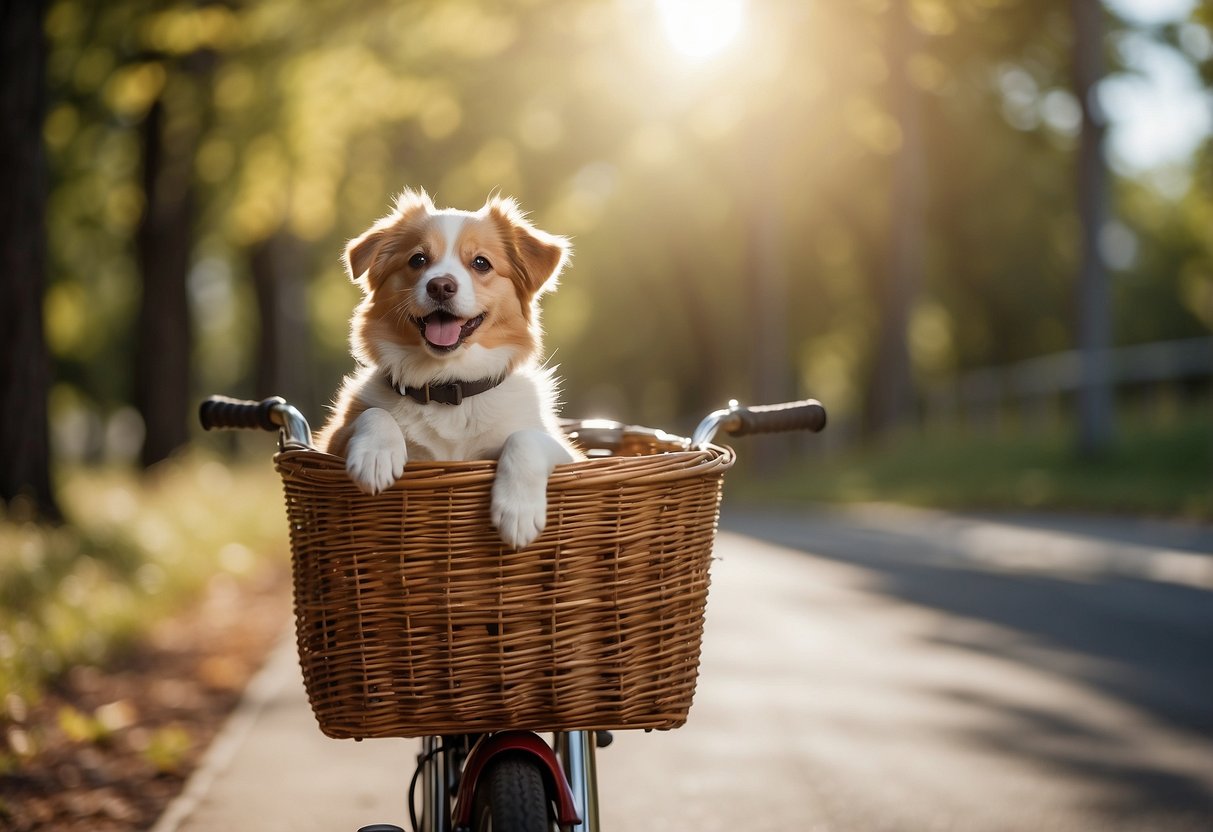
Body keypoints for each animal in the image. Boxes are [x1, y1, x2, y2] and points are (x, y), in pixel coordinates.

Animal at [317, 191, 582, 550]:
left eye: (481, 263)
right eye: (418, 260)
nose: (440, 286)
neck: (447, 383)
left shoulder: (569, 454)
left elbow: (525, 438)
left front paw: (518, 509)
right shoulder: (330, 441)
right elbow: (374, 413)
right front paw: (375, 454)